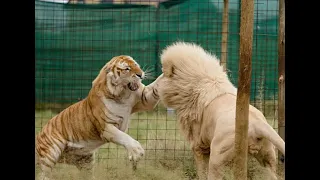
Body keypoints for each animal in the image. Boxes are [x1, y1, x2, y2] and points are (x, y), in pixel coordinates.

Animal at [36, 55, 164, 180]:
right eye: (127, 69)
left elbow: (157, 84)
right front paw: (137, 151)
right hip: (50, 154)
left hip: (85, 161)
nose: (140, 74)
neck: (123, 94)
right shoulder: (106, 127)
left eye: (136, 65)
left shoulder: (145, 99)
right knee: (43, 174)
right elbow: (123, 137)